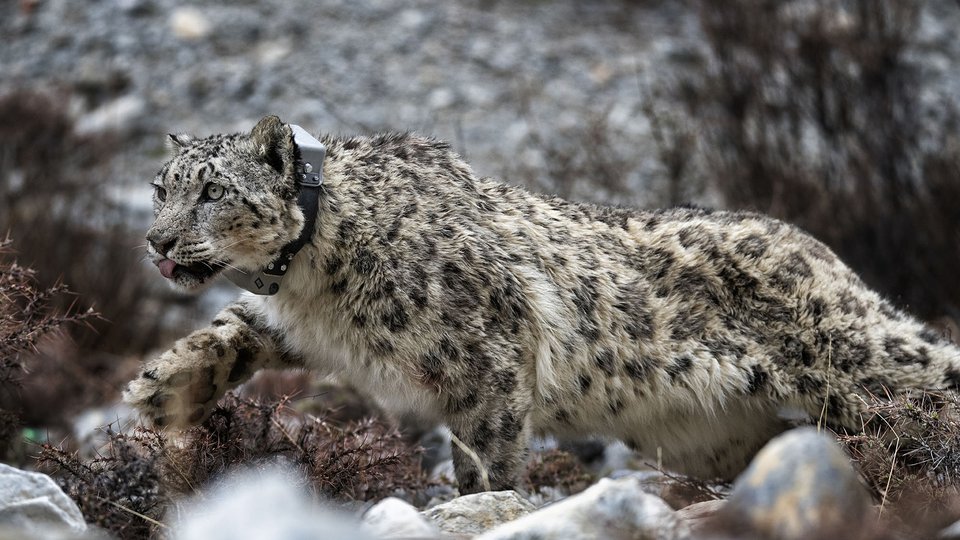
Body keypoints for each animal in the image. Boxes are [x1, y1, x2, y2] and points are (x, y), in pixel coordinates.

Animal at [124, 115, 960, 493]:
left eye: (212, 193)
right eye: (161, 187)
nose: (156, 241)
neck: (310, 287)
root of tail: (821, 252)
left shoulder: (485, 357)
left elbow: (486, 451)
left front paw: (480, 504)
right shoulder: (289, 321)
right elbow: (233, 326)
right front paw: (162, 388)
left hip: (866, 366)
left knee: (930, 382)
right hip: (716, 439)